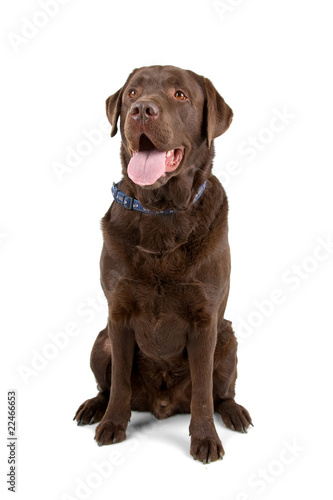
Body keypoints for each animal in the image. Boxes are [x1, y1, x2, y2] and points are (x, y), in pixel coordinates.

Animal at [74, 64, 252, 462]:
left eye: (179, 94)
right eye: (132, 93)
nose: (142, 109)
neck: (162, 212)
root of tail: (163, 405)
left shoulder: (205, 321)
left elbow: (202, 392)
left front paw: (205, 438)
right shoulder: (118, 314)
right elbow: (120, 381)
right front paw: (112, 424)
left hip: (227, 338)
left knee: (221, 393)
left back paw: (234, 413)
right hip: (100, 340)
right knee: (107, 385)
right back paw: (94, 408)